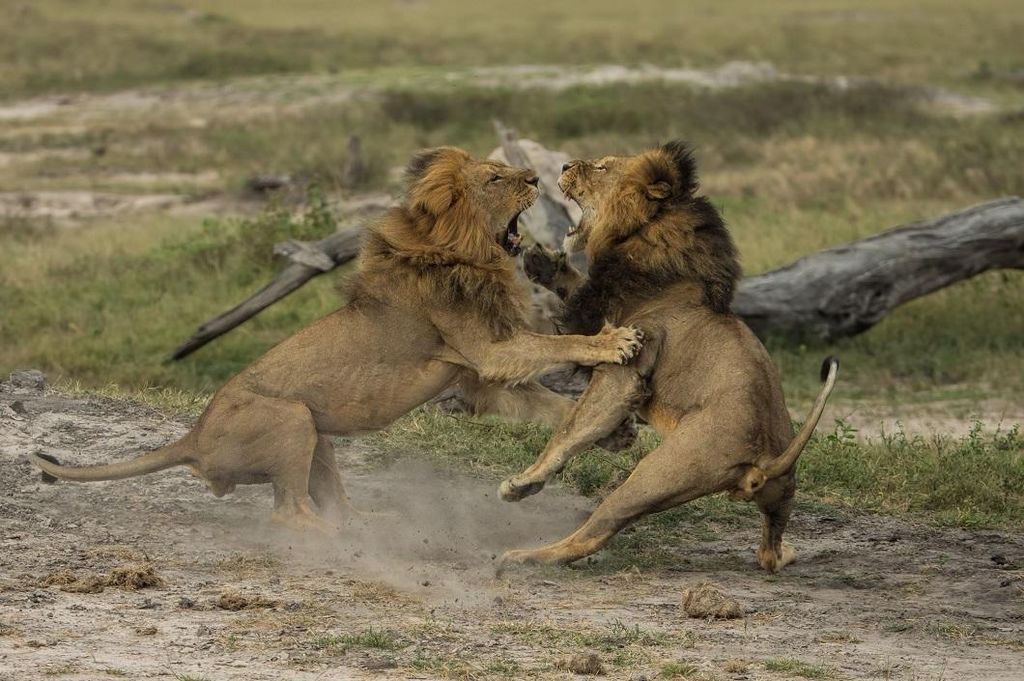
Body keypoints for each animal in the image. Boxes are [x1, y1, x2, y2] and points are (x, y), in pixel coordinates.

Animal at [29, 147, 638, 532]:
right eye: (494, 179)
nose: (535, 179)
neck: (464, 255)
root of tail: (193, 437)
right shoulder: (489, 350)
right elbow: (552, 348)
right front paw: (614, 341)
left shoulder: (477, 377)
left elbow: (553, 406)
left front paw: (616, 434)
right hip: (291, 417)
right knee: (289, 515)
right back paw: (348, 543)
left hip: (315, 432)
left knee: (322, 503)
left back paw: (369, 523)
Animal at [497, 140, 839, 569]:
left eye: (602, 167)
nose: (564, 165)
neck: (640, 237)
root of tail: (767, 458)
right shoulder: (604, 315)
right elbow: (576, 287)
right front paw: (541, 262)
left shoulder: (626, 367)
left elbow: (570, 431)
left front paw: (524, 482)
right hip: (780, 498)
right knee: (770, 551)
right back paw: (784, 552)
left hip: (655, 474)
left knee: (594, 532)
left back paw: (524, 556)